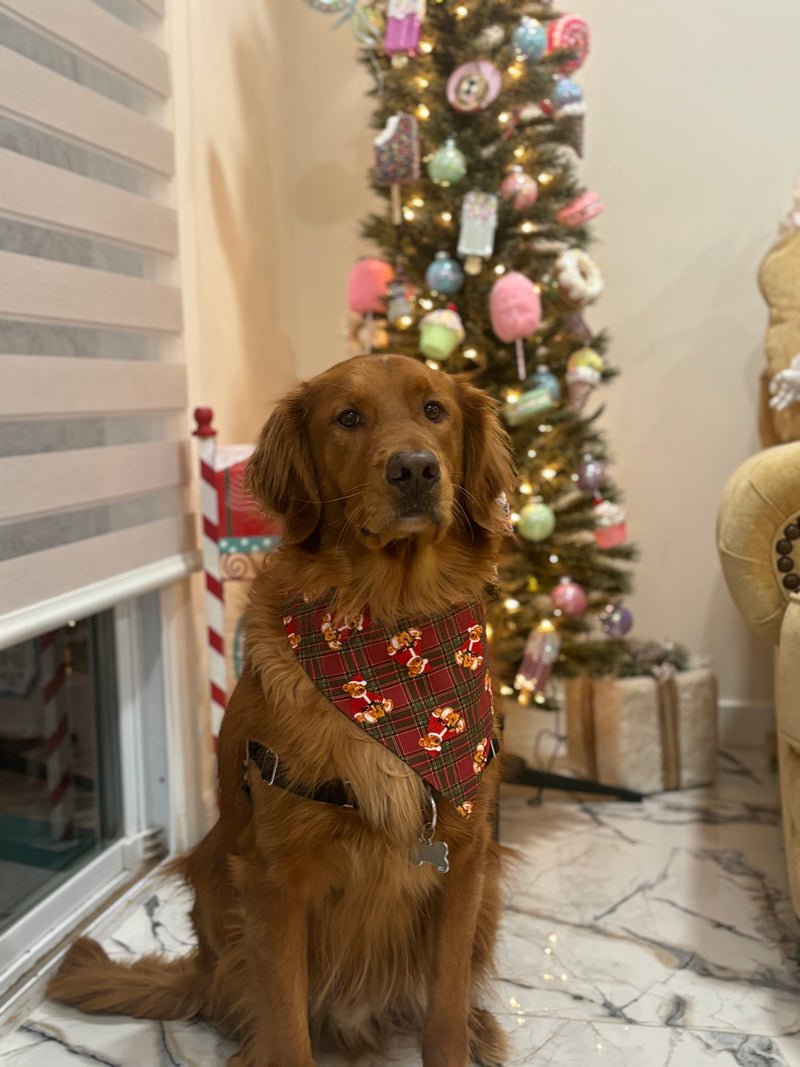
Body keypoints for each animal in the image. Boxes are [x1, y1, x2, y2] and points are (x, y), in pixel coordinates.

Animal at [48, 354, 514, 1067]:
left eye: (434, 410)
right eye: (347, 418)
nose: (414, 469)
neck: (394, 636)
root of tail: (205, 973)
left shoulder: (463, 860)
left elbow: (444, 1008)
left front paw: (458, 1037)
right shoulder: (274, 881)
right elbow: (288, 1028)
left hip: (488, 890)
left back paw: (479, 1027)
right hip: (220, 888)